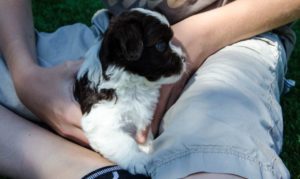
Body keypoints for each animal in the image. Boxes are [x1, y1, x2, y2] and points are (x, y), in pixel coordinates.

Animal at [73, 8, 185, 175]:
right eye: (160, 45)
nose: (184, 58)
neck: (134, 84)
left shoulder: (143, 117)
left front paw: (146, 148)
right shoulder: (101, 121)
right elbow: (125, 143)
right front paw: (137, 160)